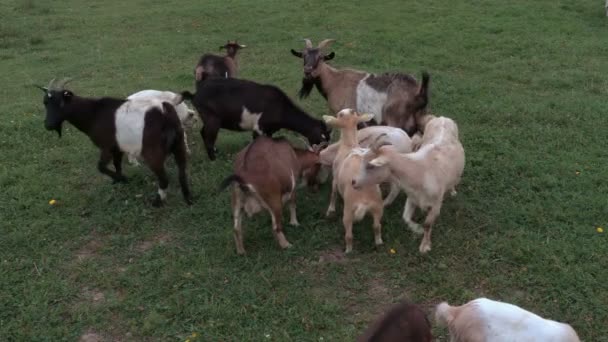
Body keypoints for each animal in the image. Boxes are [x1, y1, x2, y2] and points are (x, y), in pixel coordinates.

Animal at [36, 79, 192, 207]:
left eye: (61, 103)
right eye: (45, 103)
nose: (48, 125)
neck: (93, 114)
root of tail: (165, 113)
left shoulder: (107, 146)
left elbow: (101, 166)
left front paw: (122, 179)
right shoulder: (118, 147)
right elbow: (117, 164)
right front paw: (118, 180)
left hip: (153, 152)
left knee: (164, 179)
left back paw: (157, 202)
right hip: (179, 145)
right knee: (182, 172)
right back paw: (188, 199)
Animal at [288, 38, 428, 135]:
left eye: (320, 57)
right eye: (304, 56)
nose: (307, 71)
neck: (334, 80)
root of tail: (417, 93)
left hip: (396, 122)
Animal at [324, 108, 384, 252]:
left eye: (339, 115)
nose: (348, 109)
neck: (350, 144)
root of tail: (364, 200)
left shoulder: (335, 177)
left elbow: (333, 193)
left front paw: (330, 210)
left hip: (349, 210)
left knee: (349, 235)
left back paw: (348, 250)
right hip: (378, 206)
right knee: (377, 226)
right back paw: (379, 242)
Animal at [352, 115, 466, 254]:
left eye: (371, 166)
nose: (353, 182)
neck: (420, 171)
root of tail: (442, 118)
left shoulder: (436, 205)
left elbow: (428, 224)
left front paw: (425, 245)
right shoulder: (412, 197)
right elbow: (405, 217)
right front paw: (417, 229)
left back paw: (453, 190)